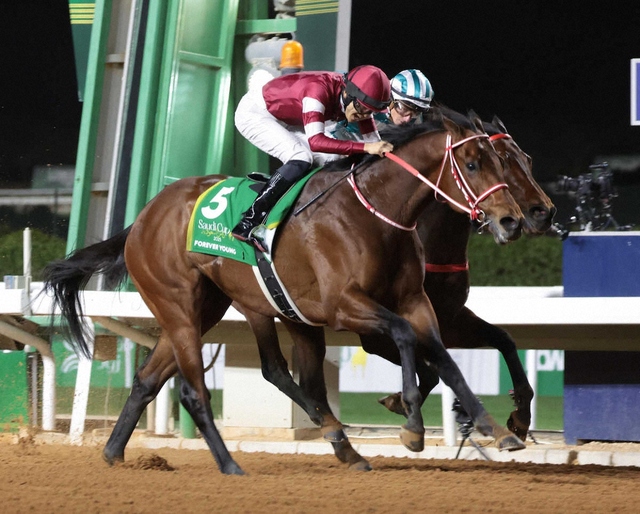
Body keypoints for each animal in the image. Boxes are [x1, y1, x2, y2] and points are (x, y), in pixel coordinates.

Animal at [43, 114, 524, 474]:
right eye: (474, 164)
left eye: (506, 163)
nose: (514, 221)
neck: (376, 213)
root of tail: (143, 219)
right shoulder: (344, 307)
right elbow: (406, 338)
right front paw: (412, 426)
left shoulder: (415, 302)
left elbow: (444, 360)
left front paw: (498, 428)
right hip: (180, 306)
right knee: (197, 390)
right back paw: (232, 464)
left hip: (214, 307)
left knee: (151, 379)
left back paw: (114, 452)